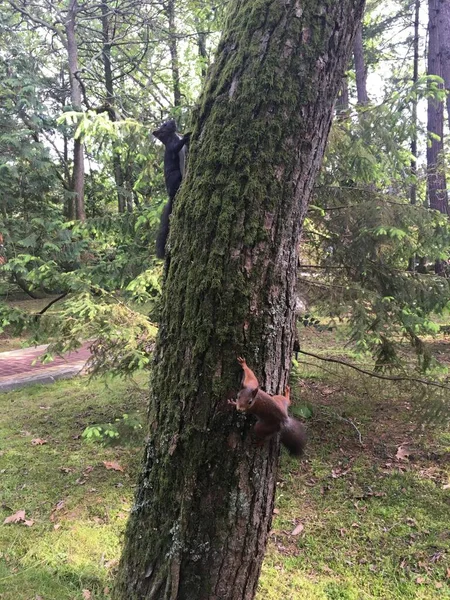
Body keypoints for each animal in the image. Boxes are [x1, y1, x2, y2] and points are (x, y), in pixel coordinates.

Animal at [154, 119, 191, 258]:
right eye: (164, 125)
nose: (173, 120)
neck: (173, 136)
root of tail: (170, 195)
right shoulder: (172, 147)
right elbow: (177, 146)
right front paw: (187, 135)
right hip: (175, 175)